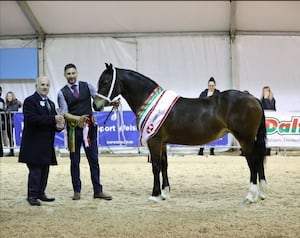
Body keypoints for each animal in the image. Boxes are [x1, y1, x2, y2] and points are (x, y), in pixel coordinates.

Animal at [94, 63, 268, 205]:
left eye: (105, 82)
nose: (96, 105)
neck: (151, 102)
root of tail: (253, 99)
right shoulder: (162, 142)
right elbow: (164, 165)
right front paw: (165, 193)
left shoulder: (154, 140)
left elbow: (155, 166)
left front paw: (155, 195)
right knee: (258, 160)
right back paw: (262, 194)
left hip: (245, 139)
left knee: (253, 162)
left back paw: (251, 196)